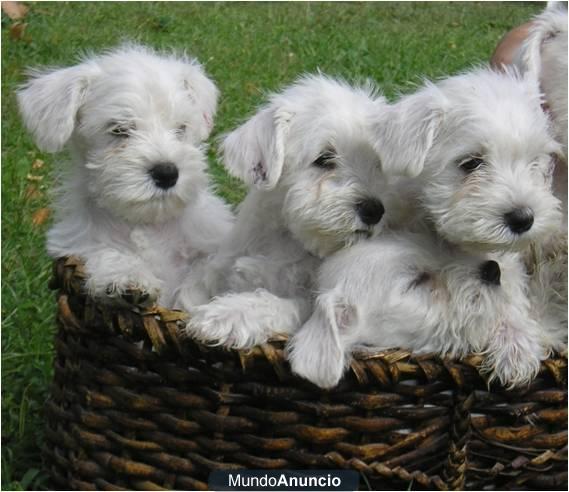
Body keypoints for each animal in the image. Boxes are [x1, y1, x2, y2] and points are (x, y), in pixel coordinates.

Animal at [18, 46, 233, 308]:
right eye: (119, 129)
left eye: (181, 128)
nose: (167, 173)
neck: (147, 223)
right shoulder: (77, 244)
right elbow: (105, 252)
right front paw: (129, 279)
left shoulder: (211, 243)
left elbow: (198, 280)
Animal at [175, 75, 398, 348]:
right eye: (324, 158)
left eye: (378, 163)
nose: (374, 209)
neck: (288, 240)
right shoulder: (221, 267)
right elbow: (192, 290)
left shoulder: (312, 302)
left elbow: (276, 303)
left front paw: (226, 314)